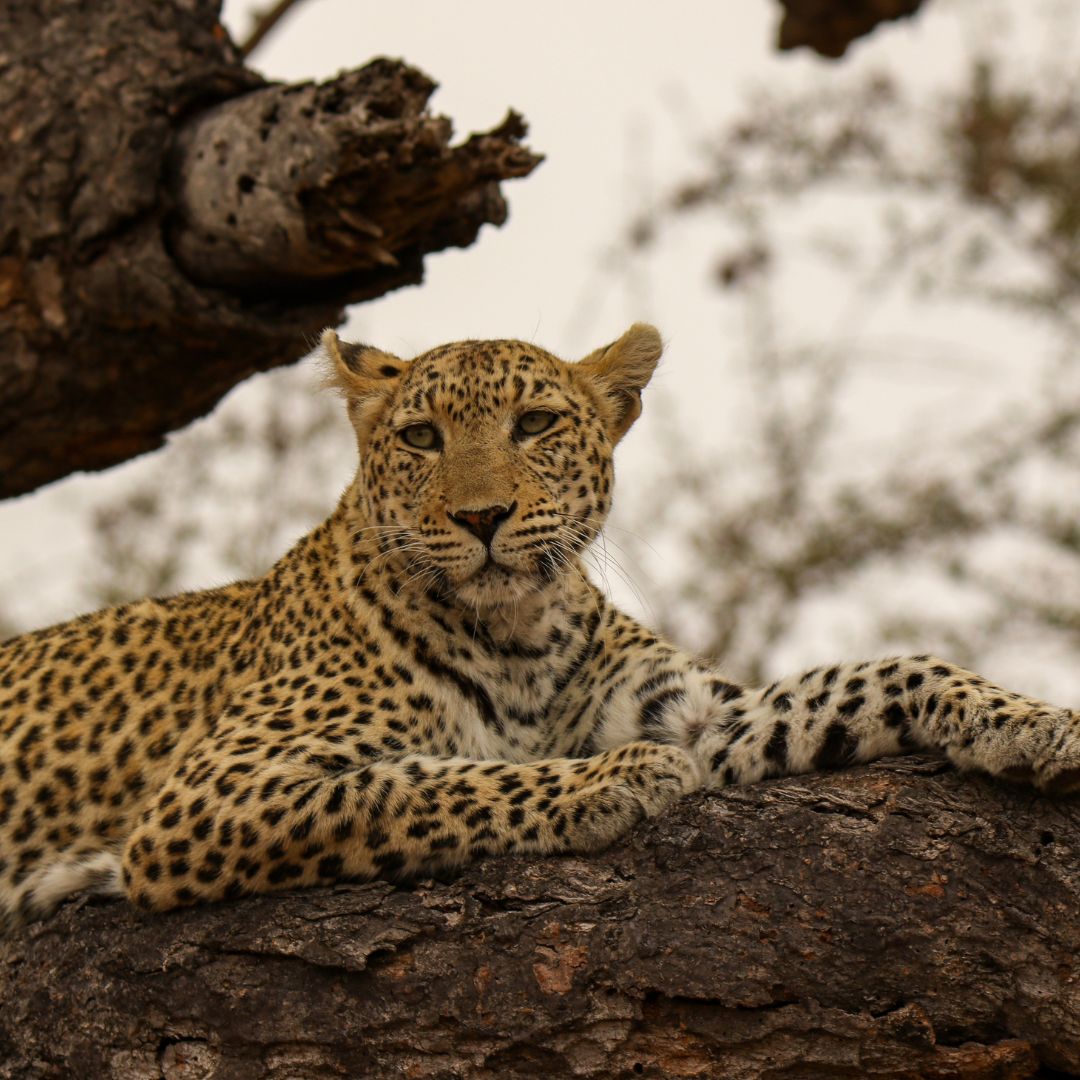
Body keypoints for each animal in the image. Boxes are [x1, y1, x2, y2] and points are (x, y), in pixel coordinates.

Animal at [1, 322, 1078, 926]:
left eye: (536, 425)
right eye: (420, 437)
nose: (481, 518)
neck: (516, 630)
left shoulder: (693, 714)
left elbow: (873, 677)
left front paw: (1033, 721)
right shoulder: (211, 793)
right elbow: (422, 783)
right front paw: (611, 781)